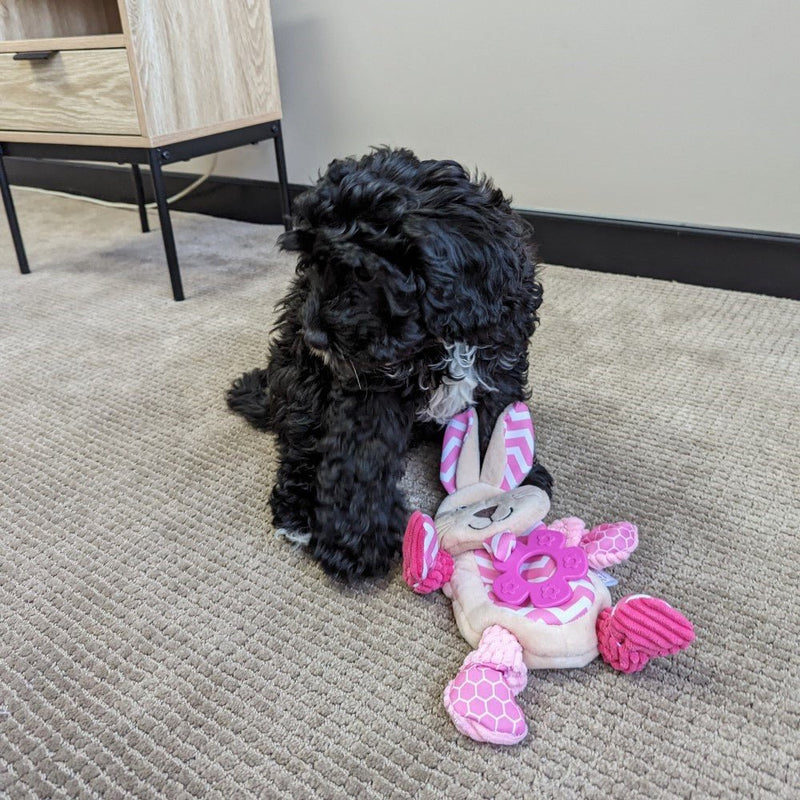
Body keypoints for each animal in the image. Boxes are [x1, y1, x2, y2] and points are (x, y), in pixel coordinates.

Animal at [225, 145, 552, 580]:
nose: (314, 337)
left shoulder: (500, 357)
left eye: (363, 273)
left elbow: (498, 419)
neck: (434, 339)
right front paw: (356, 542)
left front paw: (517, 480)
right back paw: (297, 514)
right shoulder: (366, 386)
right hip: (302, 382)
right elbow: (361, 458)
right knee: (300, 447)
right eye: (309, 264)